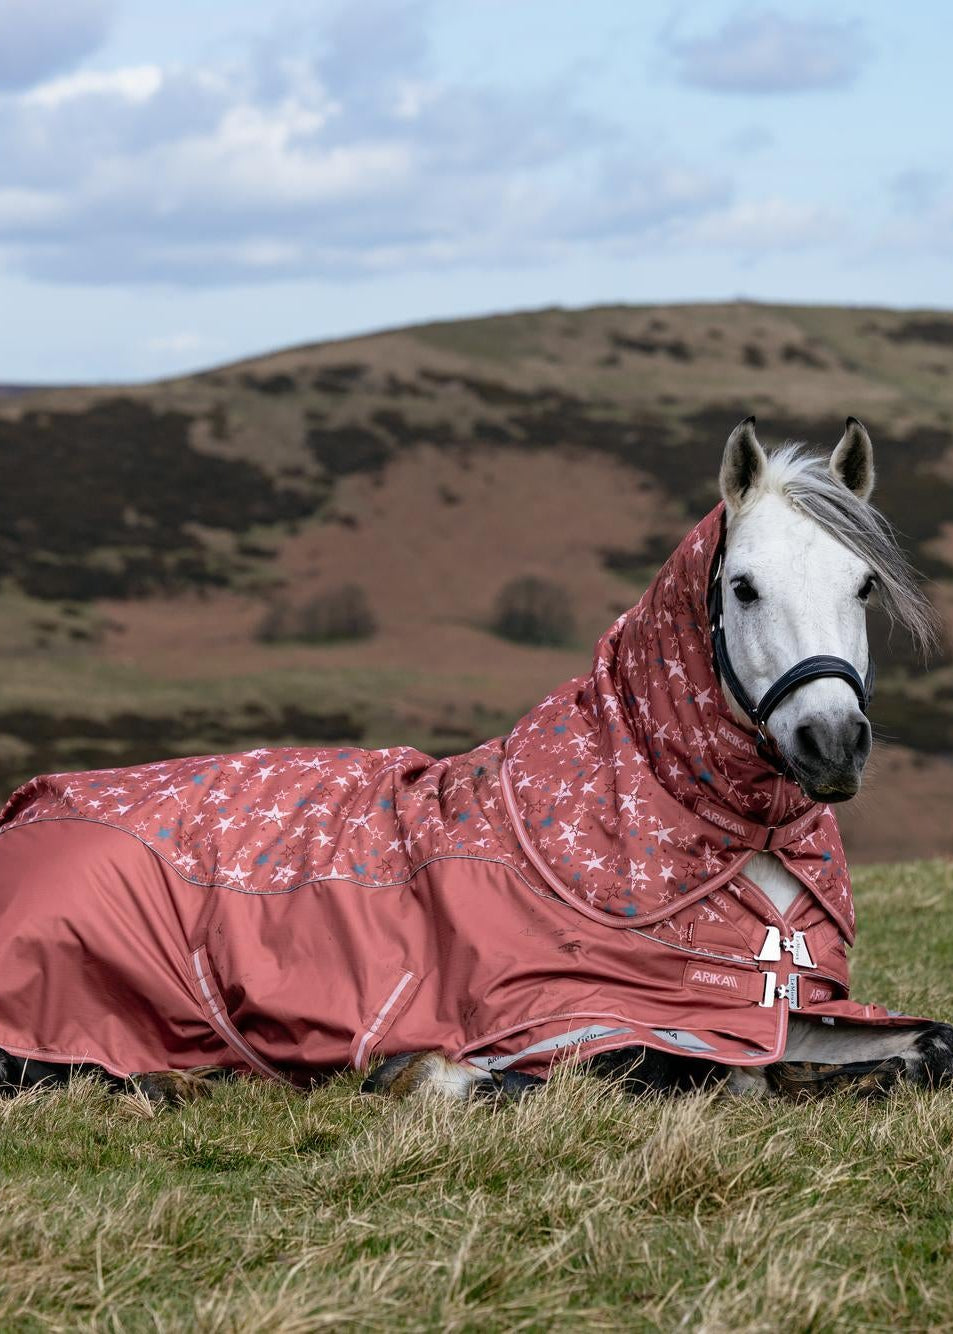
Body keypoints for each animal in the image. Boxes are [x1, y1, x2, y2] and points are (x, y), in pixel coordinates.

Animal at [1, 416, 951, 1106]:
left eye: (863, 585)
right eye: (742, 587)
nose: (830, 743)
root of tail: (28, 805)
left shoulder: (767, 1010)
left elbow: (923, 1043)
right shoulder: (578, 1016)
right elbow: (697, 1072)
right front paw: (436, 1075)